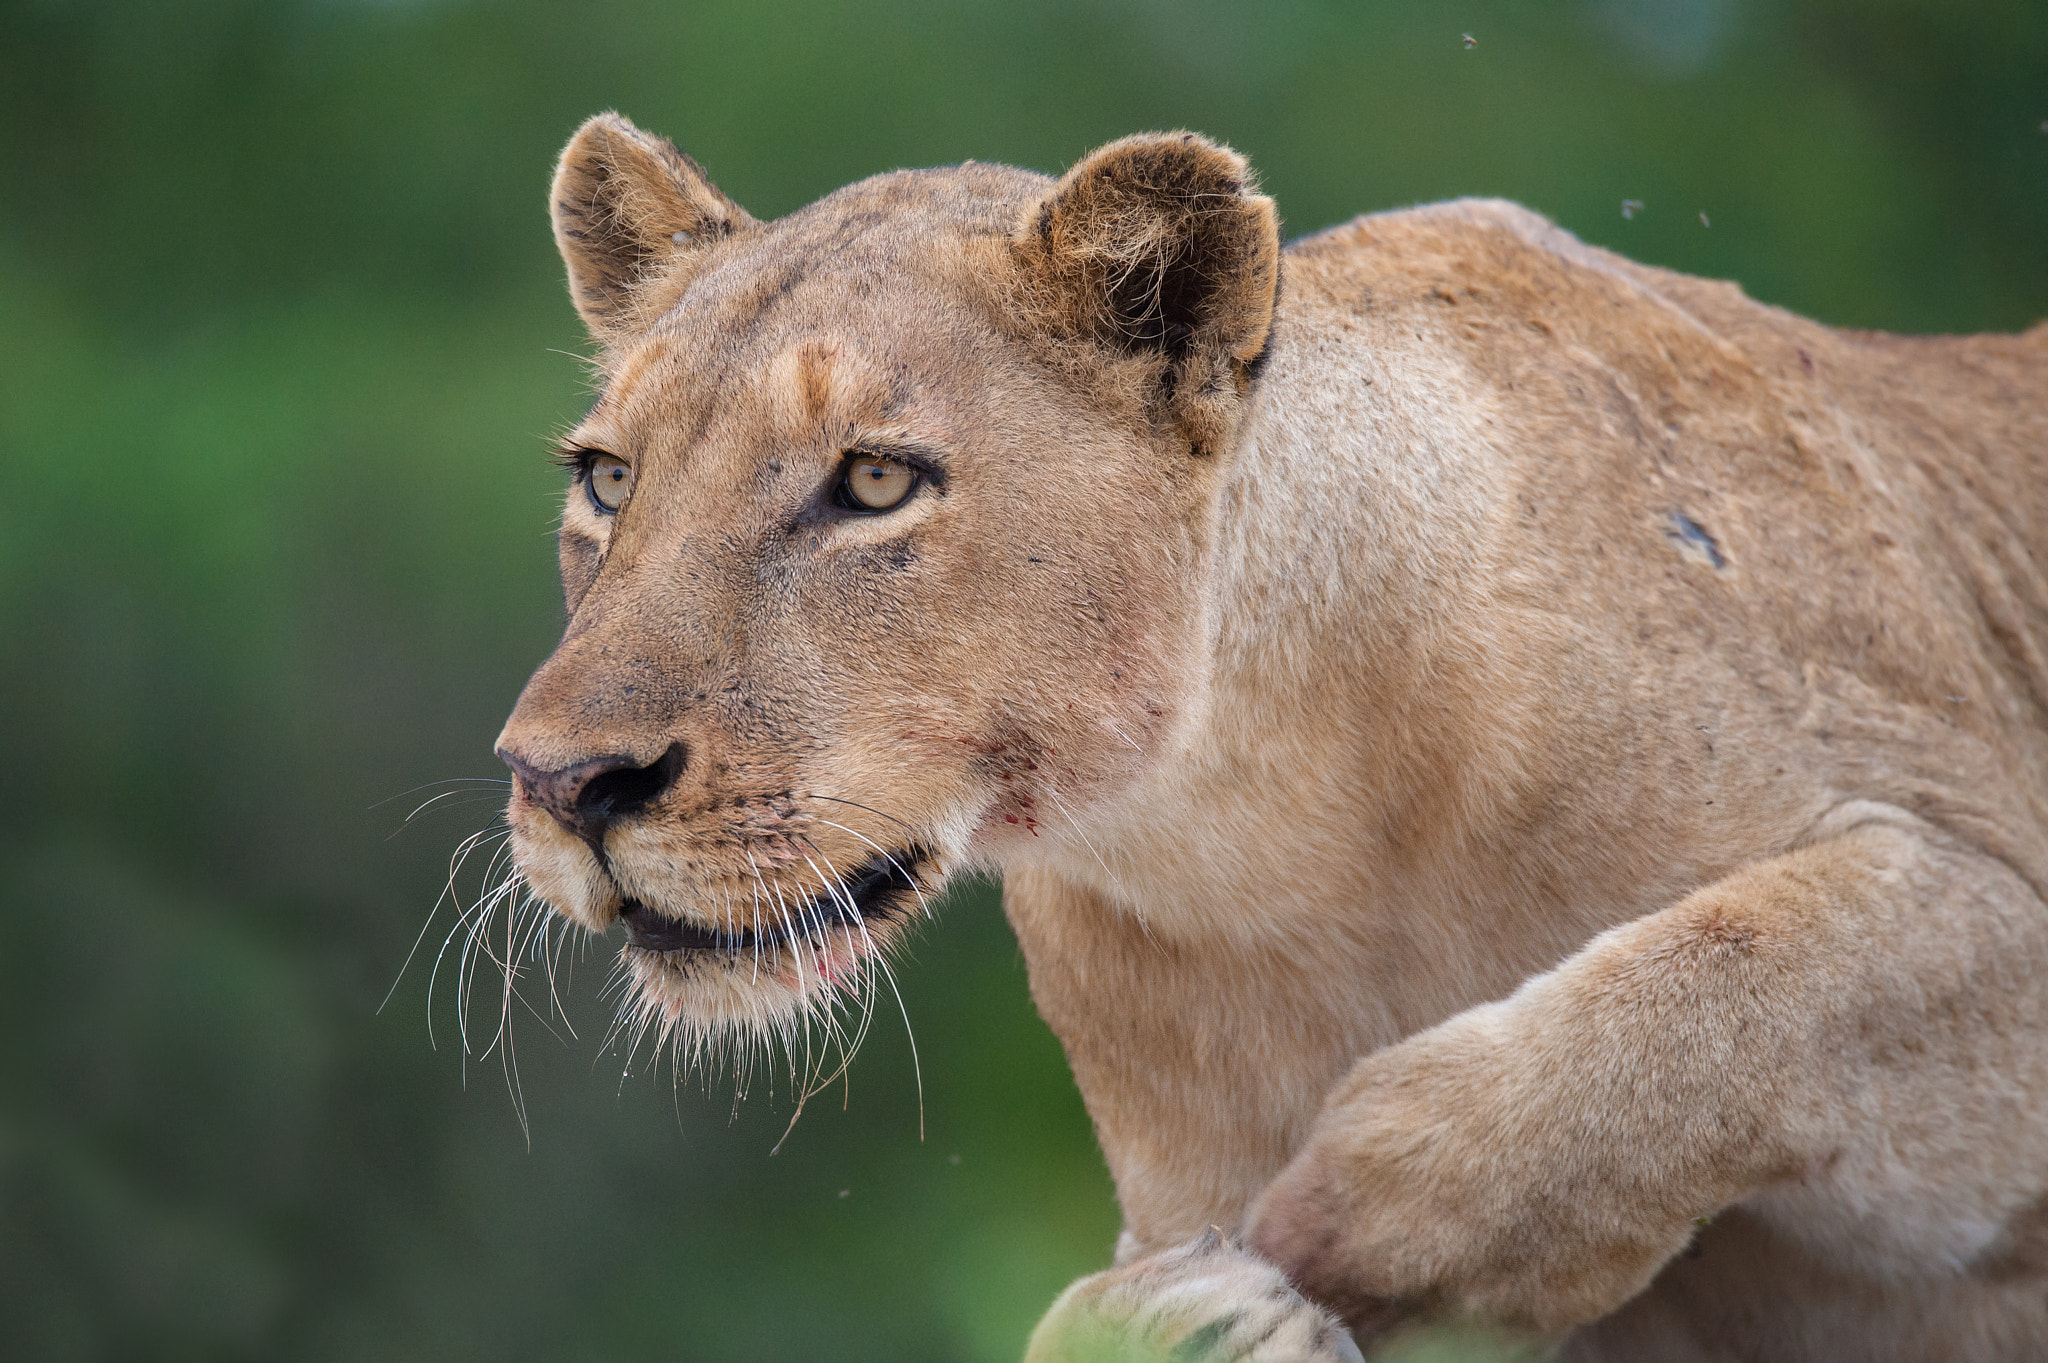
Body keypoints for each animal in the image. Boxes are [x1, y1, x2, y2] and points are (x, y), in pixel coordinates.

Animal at [492, 112, 2048, 1360]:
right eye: (609, 480)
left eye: (874, 480)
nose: (564, 783)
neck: (1263, 822)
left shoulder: (1979, 881)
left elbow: (1715, 996)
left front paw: (1316, 1245)